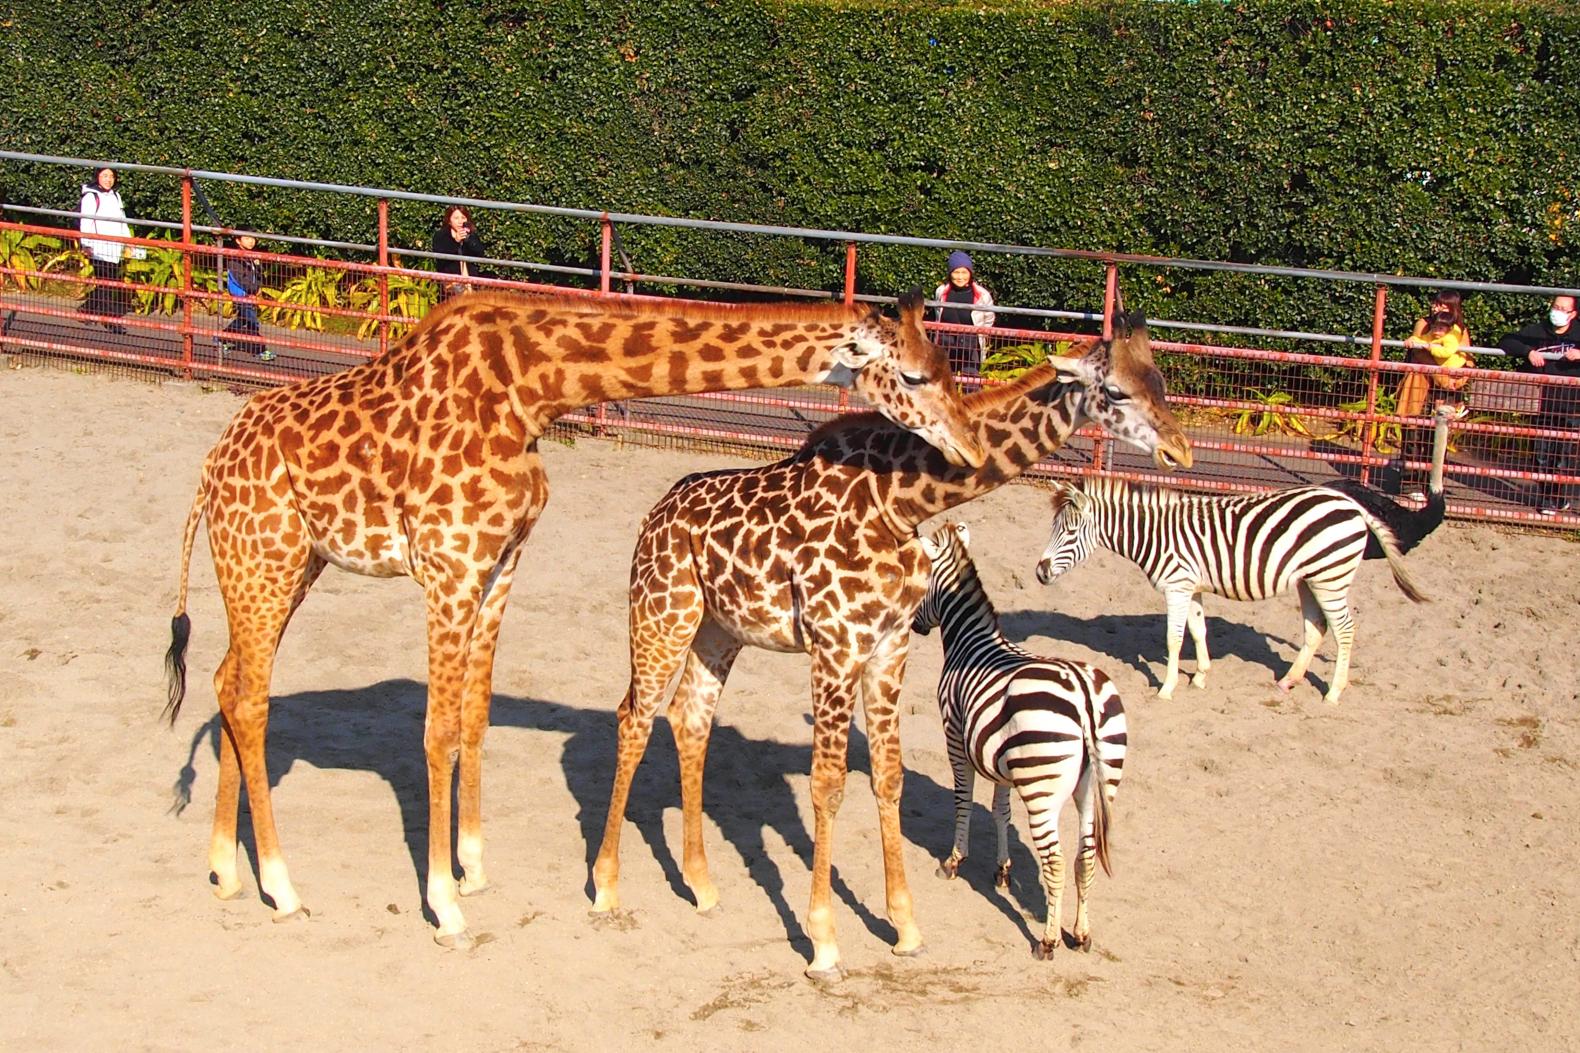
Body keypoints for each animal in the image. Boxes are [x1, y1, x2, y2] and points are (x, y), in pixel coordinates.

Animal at [166, 284, 985, 942]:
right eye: (914, 373)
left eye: (951, 366)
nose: (972, 449)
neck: (531, 387)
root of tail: (208, 468)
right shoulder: (448, 564)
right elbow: (435, 729)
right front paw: (445, 904)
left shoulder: (499, 563)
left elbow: (473, 714)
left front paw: (471, 867)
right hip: (265, 556)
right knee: (249, 694)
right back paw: (281, 885)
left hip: (284, 563)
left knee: (228, 681)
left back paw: (226, 870)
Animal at [910, 521, 1131, 954]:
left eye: (919, 581)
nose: (912, 626)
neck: (971, 642)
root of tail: (1083, 694)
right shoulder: (1000, 760)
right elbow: (1000, 811)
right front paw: (1002, 871)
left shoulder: (955, 738)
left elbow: (963, 801)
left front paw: (954, 862)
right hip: (1099, 784)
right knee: (1085, 857)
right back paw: (1081, 934)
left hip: (1043, 788)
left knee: (1056, 861)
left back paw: (1048, 941)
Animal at [1036, 474, 1447, 705]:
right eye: (1053, 528)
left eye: (1069, 532)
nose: (1039, 572)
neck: (1155, 535)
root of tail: (1352, 504)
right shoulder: (1193, 586)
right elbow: (1198, 630)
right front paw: (1201, 676)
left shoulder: (1177, 585)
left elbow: (1173, 637)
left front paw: (1167, 688)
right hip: (1310, 579)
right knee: (1316, 628)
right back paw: (1289, 681)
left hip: (1330, 577)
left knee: (1344, 629)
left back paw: (1333, 693)